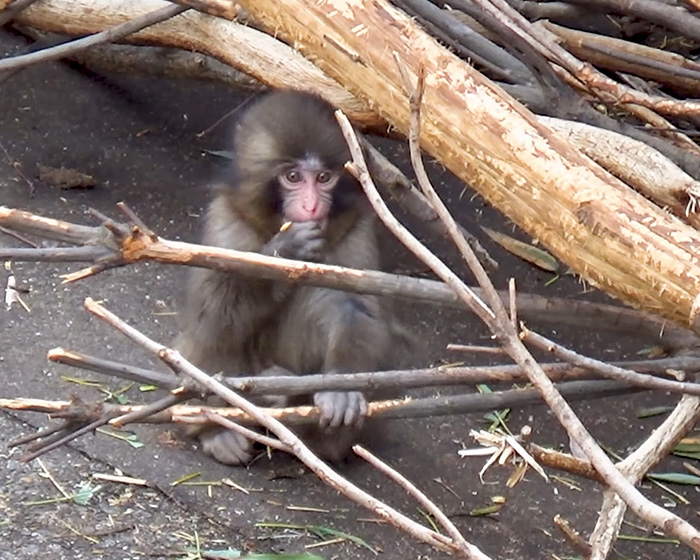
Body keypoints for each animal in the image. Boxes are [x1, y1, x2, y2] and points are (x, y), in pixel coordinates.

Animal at [175, 89, 408, 466]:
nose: (312, 207)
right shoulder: (226, 224)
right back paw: (216, 428)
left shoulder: (357, 230)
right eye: (293, 177)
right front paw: (284, 250)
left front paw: (340, 388)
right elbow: (213, 313)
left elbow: (356, 309)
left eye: (324, 178)